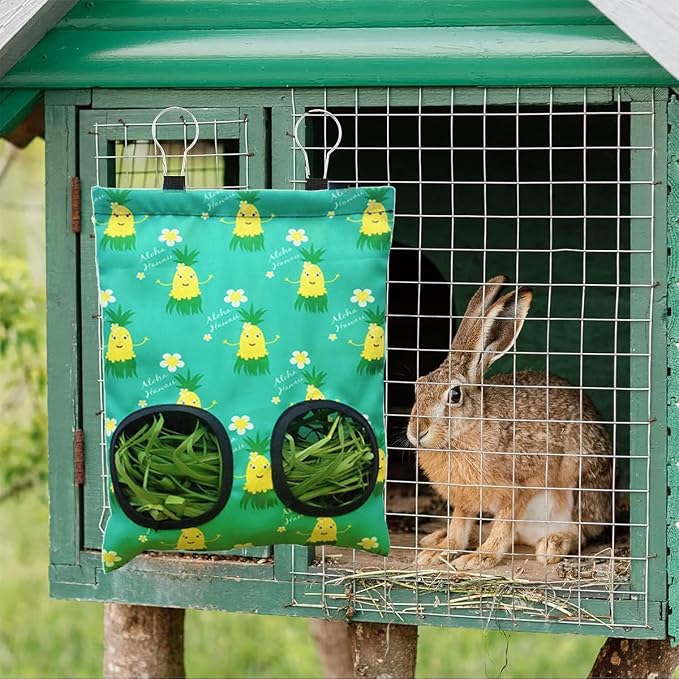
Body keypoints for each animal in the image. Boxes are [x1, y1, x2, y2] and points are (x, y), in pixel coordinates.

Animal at [406, 275, 612, 570]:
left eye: (455, 395)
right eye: (418, 387)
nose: (417, 432)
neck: (467, 431)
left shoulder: (520, 487)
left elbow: (504, 524)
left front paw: (481, 558)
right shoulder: (465, 499)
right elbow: (459, 523)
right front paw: (443, 550)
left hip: (577, 486)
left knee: (581, 532)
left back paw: (553, 544)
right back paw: (434, 539)